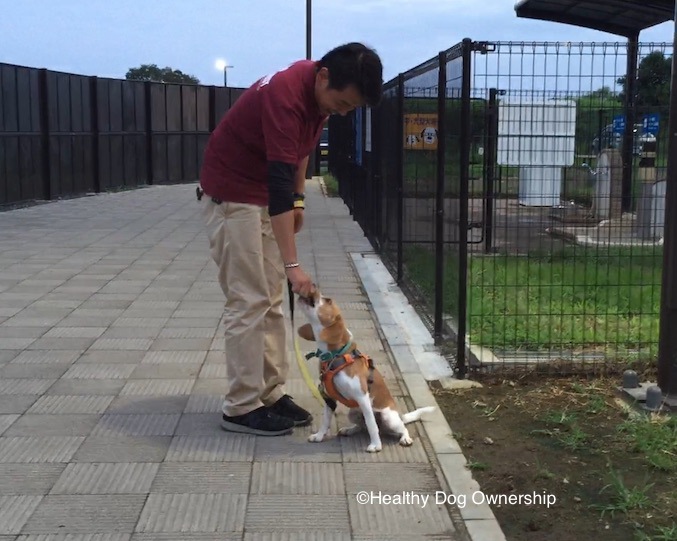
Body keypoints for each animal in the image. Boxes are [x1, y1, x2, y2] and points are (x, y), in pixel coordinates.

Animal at [296, 286, 434, 452]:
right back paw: (349, 430)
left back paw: (405, 438)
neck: (336, 356)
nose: (313, 288)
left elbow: (371, 425)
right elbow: (326, 420)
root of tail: (400, 415)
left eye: (327, 300)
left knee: (399, 428)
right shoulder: (329, 398)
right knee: (361, 426)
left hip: (389, 418)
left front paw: (375, 445)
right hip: (353, 413)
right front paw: (319, 436)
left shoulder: (362, 398)